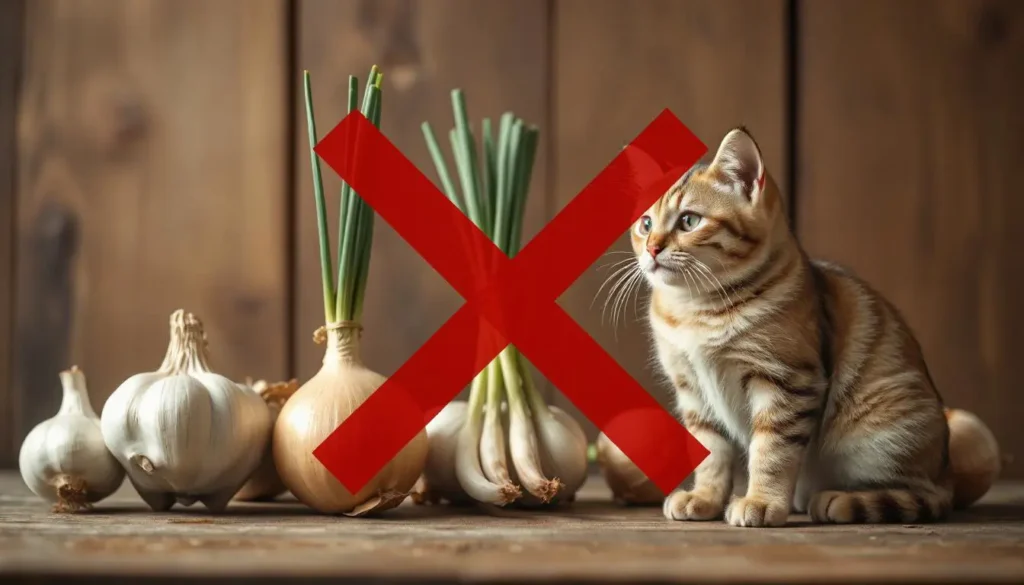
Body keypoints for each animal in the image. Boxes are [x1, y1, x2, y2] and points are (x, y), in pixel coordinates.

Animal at [630, 126, 999, 528]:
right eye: (645, 224)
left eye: (689, 221)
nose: (652, 248)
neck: (696, 309)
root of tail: (944, 470)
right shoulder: (692, 390)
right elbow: (711, 451)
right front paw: (704, 499)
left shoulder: (787, 381)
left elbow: (771, 452)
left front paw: (761, 501)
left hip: (882, 432)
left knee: (920, 495)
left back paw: (841, 500)